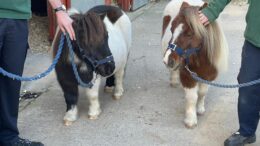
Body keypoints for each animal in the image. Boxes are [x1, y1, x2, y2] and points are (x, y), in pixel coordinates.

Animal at [161, 0, 229, 128]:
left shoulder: (209, 76)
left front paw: (200, 109)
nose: (168, 60)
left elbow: (202, 93)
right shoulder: (187, 75)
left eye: (189, 34)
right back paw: (174, 80)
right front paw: (191, 120)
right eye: (171, 29)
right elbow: (192, 97)